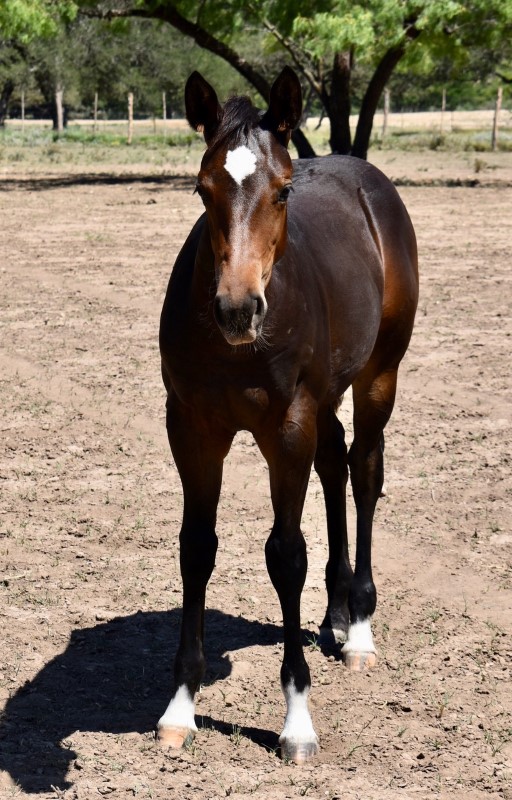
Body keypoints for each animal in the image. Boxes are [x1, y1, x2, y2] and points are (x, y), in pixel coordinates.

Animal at [158, 69, 418, 764]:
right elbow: (197, 547)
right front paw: (180, 705)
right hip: (324, 400)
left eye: (282, 191)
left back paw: (358, 627)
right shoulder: (192, 428)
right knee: (334, 466)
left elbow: (285, 555)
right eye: (202, 188)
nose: (237, 309)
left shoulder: (286, 429)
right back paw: (335, 614)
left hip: (378, 377)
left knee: (364, 471)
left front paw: (297, 721)